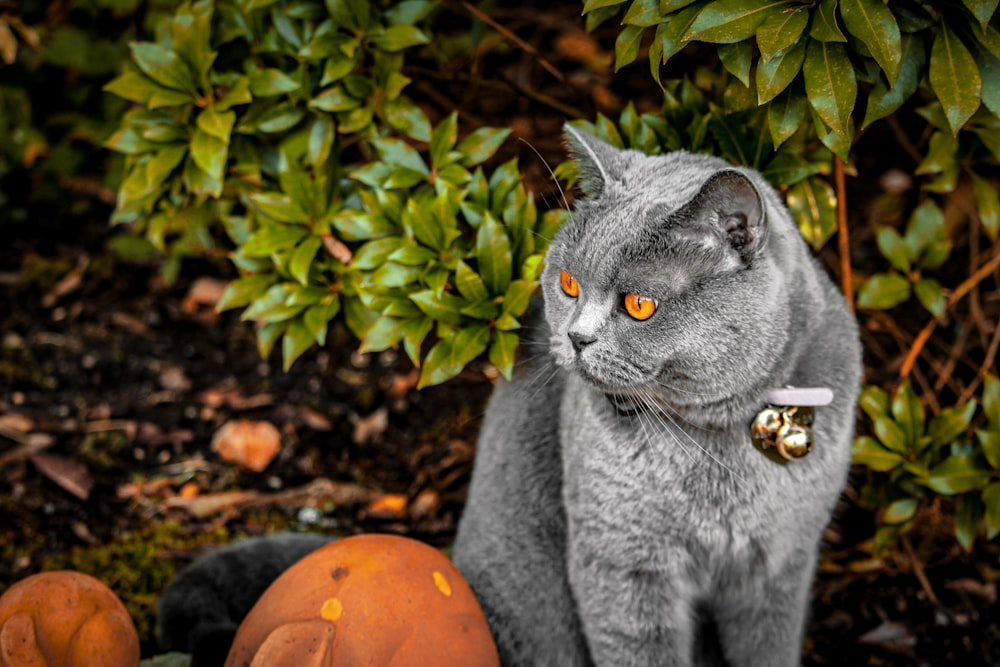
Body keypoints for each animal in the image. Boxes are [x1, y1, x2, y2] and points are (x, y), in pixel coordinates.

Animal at [450, 126, 864, 667]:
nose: (576, 337)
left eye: (639, 305)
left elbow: (768, 648)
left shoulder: (781, 562)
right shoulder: (622, 565)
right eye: (568, 283)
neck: (715, 446)